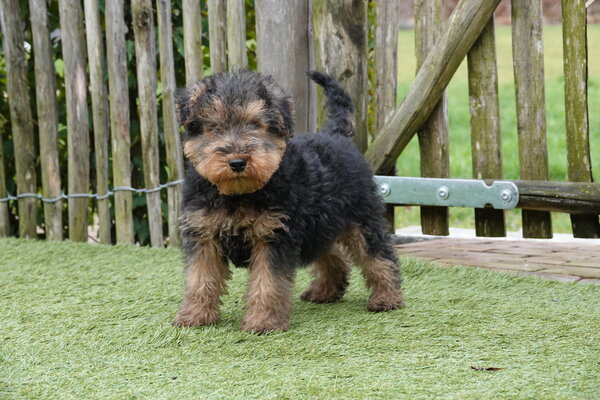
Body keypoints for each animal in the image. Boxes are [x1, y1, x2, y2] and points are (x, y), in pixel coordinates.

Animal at [172, 70, 404, 333]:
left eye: (255, 124)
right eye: (214, 127)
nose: (238, 162)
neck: (237, 196)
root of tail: (335, 134)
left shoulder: (273, 237)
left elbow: (268, 284)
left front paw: (263, 322)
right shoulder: (204, 234)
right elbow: (200, 279)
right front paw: (194, 316)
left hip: (362, 219)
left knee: (379, 257)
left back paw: (387, 297)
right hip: (318, 225)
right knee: (334, 255)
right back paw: (325, 291)